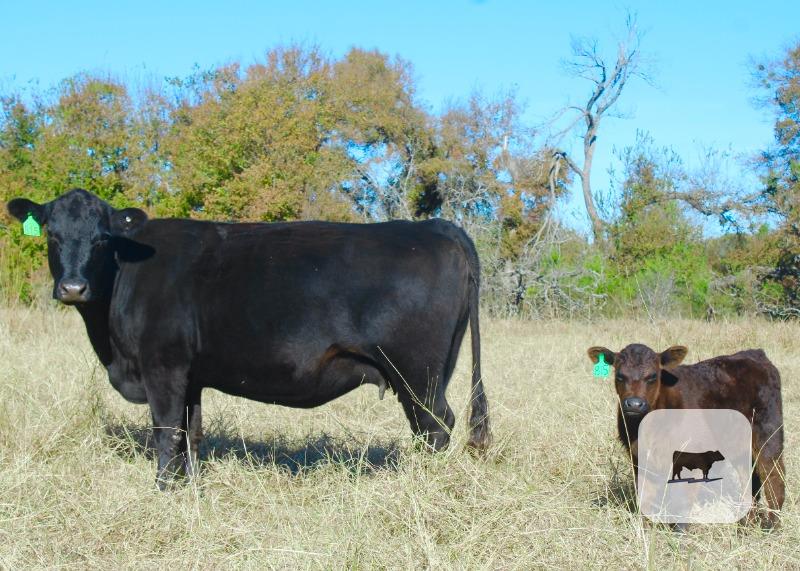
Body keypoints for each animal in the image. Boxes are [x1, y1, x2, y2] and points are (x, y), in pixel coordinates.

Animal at [7, 188, 491, 489]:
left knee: (435, 427)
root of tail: (434, 227)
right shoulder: (191, 375)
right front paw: (189, 487)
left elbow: (166, 432)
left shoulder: (162, 366)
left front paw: (163, 490)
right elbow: (191, 434)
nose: (73, 288)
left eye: (102, 238)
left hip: (418, 373)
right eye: (52, 234)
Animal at [587, 343, 784, 528]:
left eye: (653, 376)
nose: (634, 404)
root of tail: (755, 353)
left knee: (774, 475)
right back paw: (747, 523)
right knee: (749, 477)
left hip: (768, 433)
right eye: (620, 376)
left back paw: (772, 524)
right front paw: (645, 527)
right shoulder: (638, 456)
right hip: (738, 443)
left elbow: (682, 499)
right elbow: (645, 496)